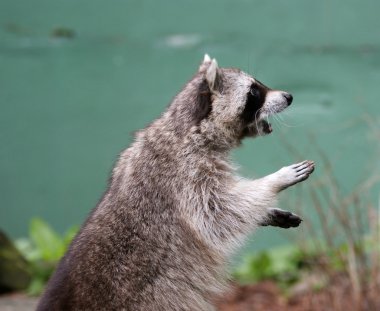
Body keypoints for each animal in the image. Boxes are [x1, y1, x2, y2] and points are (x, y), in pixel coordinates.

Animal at [36, 54, 314, 310]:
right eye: (254, 91)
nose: (289, 96)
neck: (185, 126)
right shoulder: (184, 174)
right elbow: (216, 212)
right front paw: (275, 180)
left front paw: (265, 211)